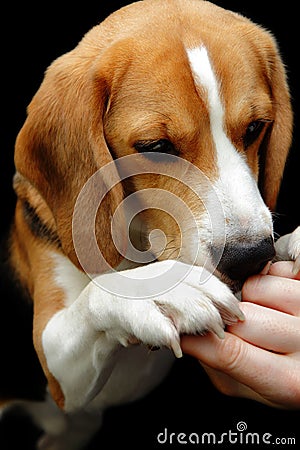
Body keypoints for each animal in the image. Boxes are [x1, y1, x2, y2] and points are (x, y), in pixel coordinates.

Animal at [2, 0, 300, 448]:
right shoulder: (62, 382)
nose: (250, 256)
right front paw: (163, 290)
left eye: (254, 128)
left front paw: (294, 246)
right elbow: (96, 299)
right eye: (156, 147)